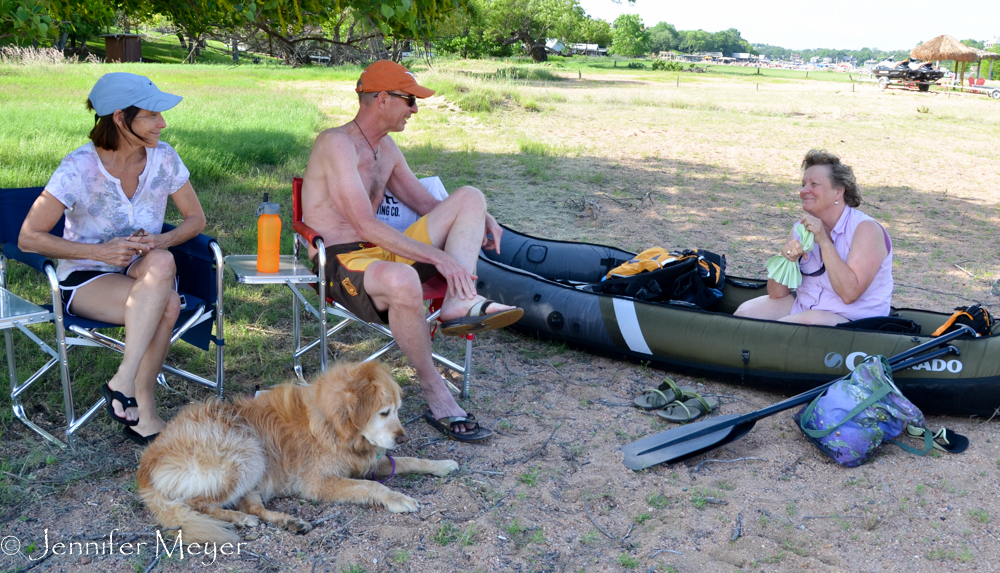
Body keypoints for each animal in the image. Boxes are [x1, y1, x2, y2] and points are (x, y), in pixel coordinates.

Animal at [137, 360, 458, 544]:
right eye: (384, 412)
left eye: (398, 411)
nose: (403, 437)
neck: (333, 424)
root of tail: (148, 460)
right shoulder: (320, 483)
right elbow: (372, 487)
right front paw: (398, 499)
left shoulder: (367, 461)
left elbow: (407, 460)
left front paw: (441, 464)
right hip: (247, 452)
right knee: (198, 505)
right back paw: (239, 520)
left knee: (251, 506)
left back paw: (289, 522)